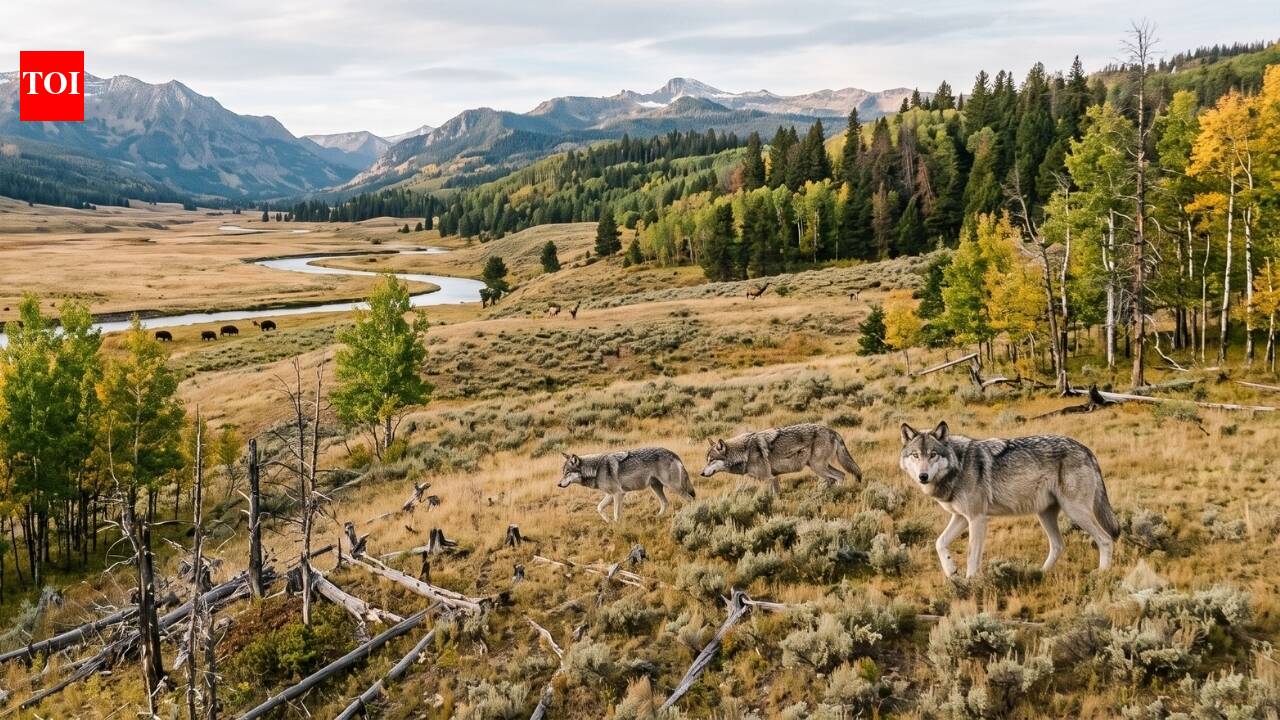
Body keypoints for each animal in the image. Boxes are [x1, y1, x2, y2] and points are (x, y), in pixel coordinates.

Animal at [558, 447, 695, 523]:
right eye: (563, 473)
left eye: (567, 473)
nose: (558, 484)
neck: (596, 469)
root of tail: (673, 453)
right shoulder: (610, 495)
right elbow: (599, 508)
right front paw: (608, 522)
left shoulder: (618, 494)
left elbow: (616, 514)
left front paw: (617, 526)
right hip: (656, 487)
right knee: (665, 503)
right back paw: (657, 517)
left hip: (673, 487)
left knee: (690, 499)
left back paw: (690, 514)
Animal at [701, 423, 862, 494]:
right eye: (706, 460)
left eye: (711, 460)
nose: (701, 473)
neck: (744, 452)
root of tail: (832, 431)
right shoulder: (774, 478)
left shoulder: (768, 479)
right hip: (818, 467)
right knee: (838, 476)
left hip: (818, 467)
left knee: (840, 476)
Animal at [899, 421, 1119, 578]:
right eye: (915, 455)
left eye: (933, 454)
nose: (923, 476)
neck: (958, 466)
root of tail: (1086, 449)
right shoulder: (961, 517)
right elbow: (940, 542)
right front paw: (951, 571)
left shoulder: (977, 518)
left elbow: (971, 556)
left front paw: (970, 584)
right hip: (1045, 514)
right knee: (1058, 545)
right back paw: (1038, 574)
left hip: (1074, 511)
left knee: (1105, 539)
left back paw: (1102, 574)